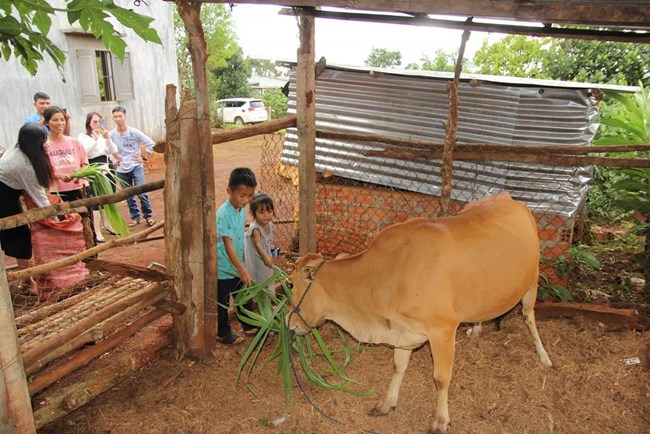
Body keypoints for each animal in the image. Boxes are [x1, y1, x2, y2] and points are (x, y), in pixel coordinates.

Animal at [286, 194, 548, 434]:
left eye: (289, 283)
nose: (289, 323)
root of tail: (509, 197)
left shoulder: (443, 329)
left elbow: (441, 378)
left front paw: (440, 420)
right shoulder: (402, 330)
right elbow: (398, 366)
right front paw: (387, 403)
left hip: (532, 281)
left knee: (529, 317)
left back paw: (543, 355)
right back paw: (477, 327)